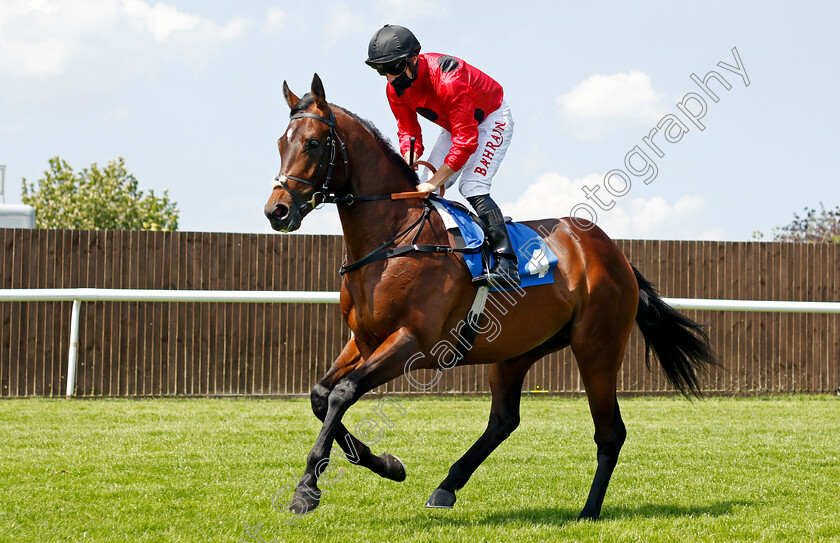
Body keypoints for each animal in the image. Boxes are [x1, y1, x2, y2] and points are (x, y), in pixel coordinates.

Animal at [264, 74, 716, 520]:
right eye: (281, 142)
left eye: (313, 143)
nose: (277, 211)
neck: (394, 238)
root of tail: (613, 253)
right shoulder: (364, 339)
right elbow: (321, 396)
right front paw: (387, 464)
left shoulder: (412, 341)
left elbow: (343, 394)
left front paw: (307, 489)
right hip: (515, 351)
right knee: (504, 420)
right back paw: (446, 487)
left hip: (597, 347)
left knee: (610, 432)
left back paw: (588, 511)